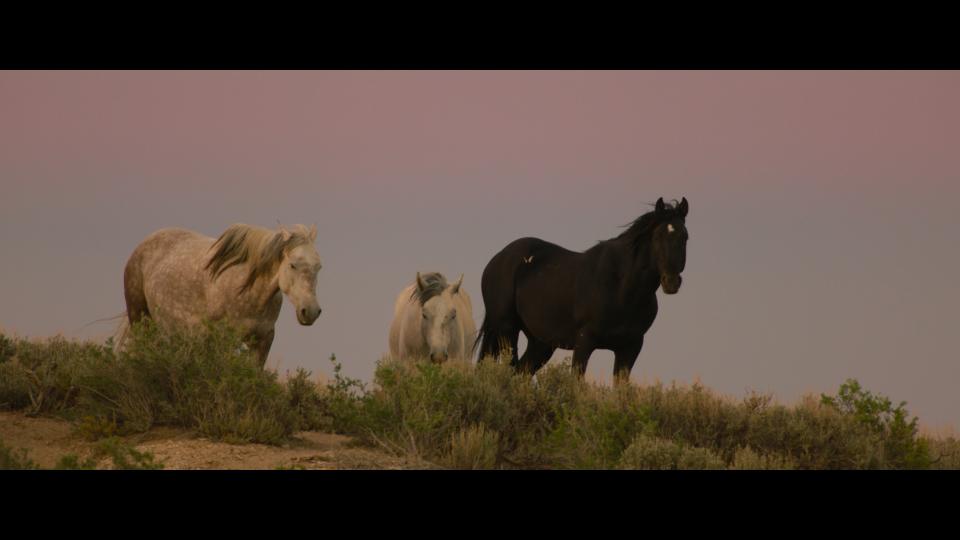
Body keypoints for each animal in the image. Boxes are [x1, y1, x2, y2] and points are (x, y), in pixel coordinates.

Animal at [119, 223, 322, 368]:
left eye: (319, 266)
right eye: (293, 265)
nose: (311, 311)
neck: (249, 293)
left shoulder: (263, 340)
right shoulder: (220, 338)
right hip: (140, 318)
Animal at [474, 197, 688, 380]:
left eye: (685, 237)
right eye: (658, 237)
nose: (671, 282)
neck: (621, 289)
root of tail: (496, 260)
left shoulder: (630, 347)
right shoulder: (585, 342)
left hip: (540, 343)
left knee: (521, 371)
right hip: (507, 330)